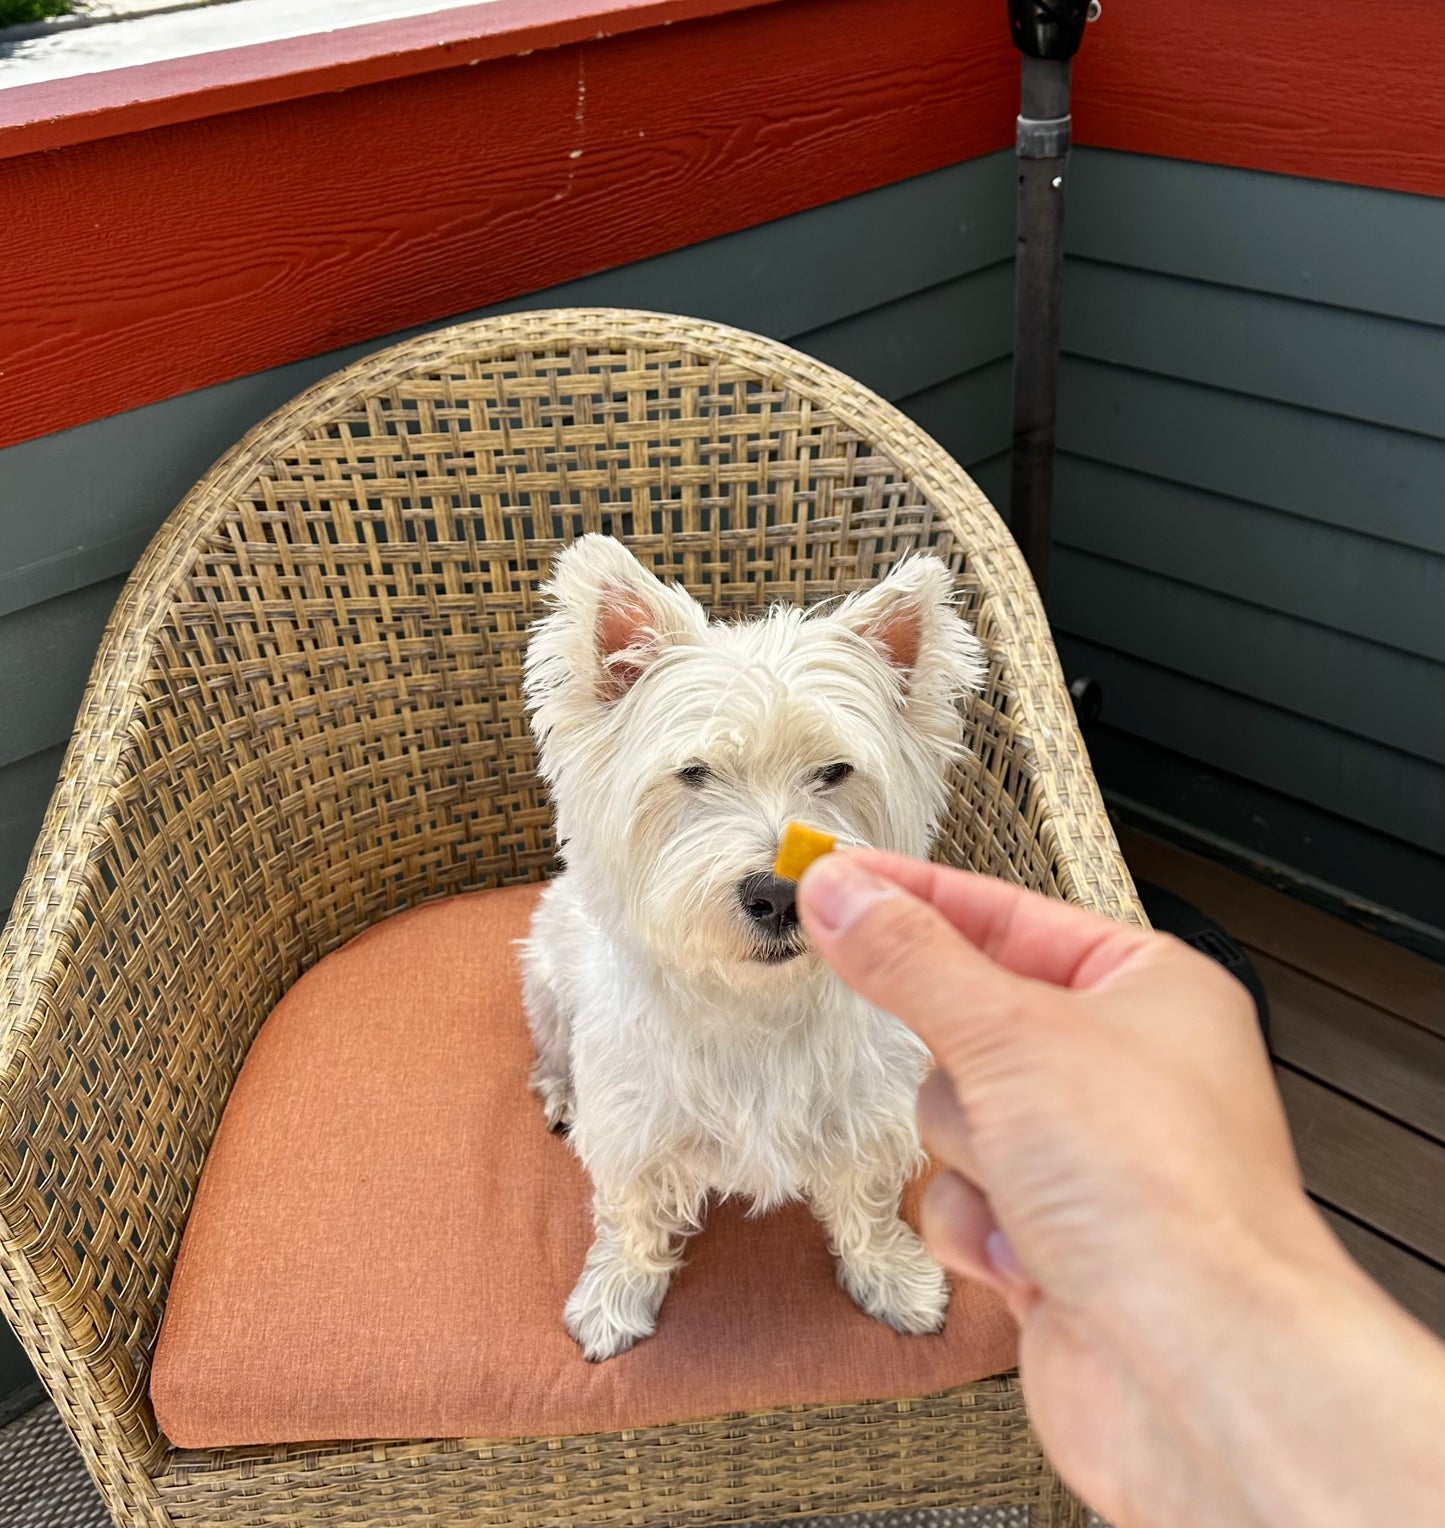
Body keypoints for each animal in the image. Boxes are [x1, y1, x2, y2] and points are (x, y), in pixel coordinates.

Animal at [522, 537, 983, 1362]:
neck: (752, 1003)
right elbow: (632, 1215)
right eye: (693, 772)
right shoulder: (635, 1128)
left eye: (834, 771)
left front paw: (894, 1281)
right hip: (544, 974)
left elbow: (867, 1202)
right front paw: (612, 1301)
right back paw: (561, 1091)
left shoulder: (868, 1110)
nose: (779, 895)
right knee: (553, 1046)